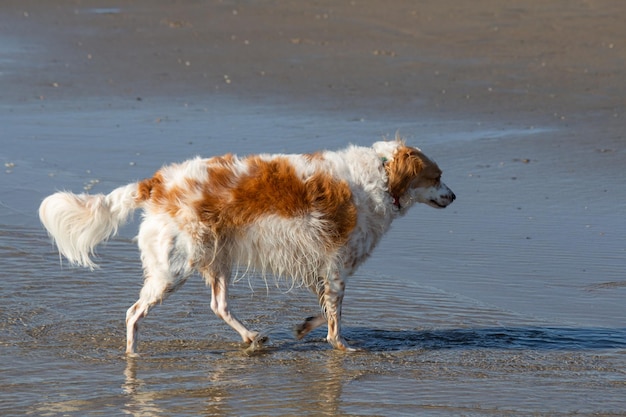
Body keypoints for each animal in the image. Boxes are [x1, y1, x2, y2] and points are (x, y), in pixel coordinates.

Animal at [39, 138, 454, 352]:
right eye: (436, 177)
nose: (453, 196)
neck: (380, 176)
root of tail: (157, 182)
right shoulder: (336, 267)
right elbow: (334, 318)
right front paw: (341, 347)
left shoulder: (319, 266)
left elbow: (322, 310)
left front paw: (303, 328)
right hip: (174, 268)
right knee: (133, 313)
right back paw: (131, 356)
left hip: (216, 259)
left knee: (218, 305)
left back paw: (252, 337)